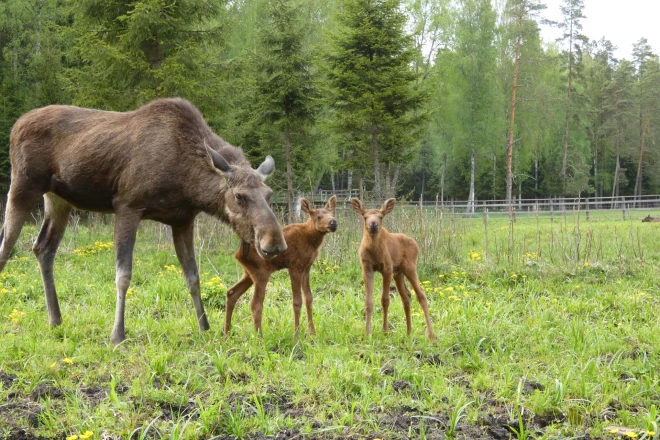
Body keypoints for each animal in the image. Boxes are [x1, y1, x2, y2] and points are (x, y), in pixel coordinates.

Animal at [0, 98, 288, 346]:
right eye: (239, 196)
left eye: (269, 193)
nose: (274, 243)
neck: (189, 184)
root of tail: (16, 125)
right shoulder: (127, 206)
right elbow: (123, 275)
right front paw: (118, 334)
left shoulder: (182, 220)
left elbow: (193, 277)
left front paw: (204, 327)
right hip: (23, 185)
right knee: (6, 247)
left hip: (59, 199)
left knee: (43, 248)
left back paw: (56, 319)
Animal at [227, 196, 340, 336]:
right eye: (318, 217)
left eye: (332, 213)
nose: (333, 223)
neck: (312, 241)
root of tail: (238, 254)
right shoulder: (295, 267)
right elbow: (297, 302)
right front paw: (296, 335)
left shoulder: (306, 267)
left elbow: (309, 298)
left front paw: (312, 333)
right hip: (261, 273)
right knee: (255, 304)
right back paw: (259, 337)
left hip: (248, 273)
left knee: (231, 293)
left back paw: (226, 334)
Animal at [350, 198, 438, 342]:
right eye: (365, 217)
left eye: (381, 217)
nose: (373, 224)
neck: (374, 251)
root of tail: (416, 244)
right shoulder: (367, 268)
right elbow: (368, 302)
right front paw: (368, 332)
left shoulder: (387, 268)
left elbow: (385, 300)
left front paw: (385, 330)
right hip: (399, 273)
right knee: (406, 296)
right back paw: (408, 332)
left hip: (410, 267)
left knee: (421, 294)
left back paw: (431, 336)